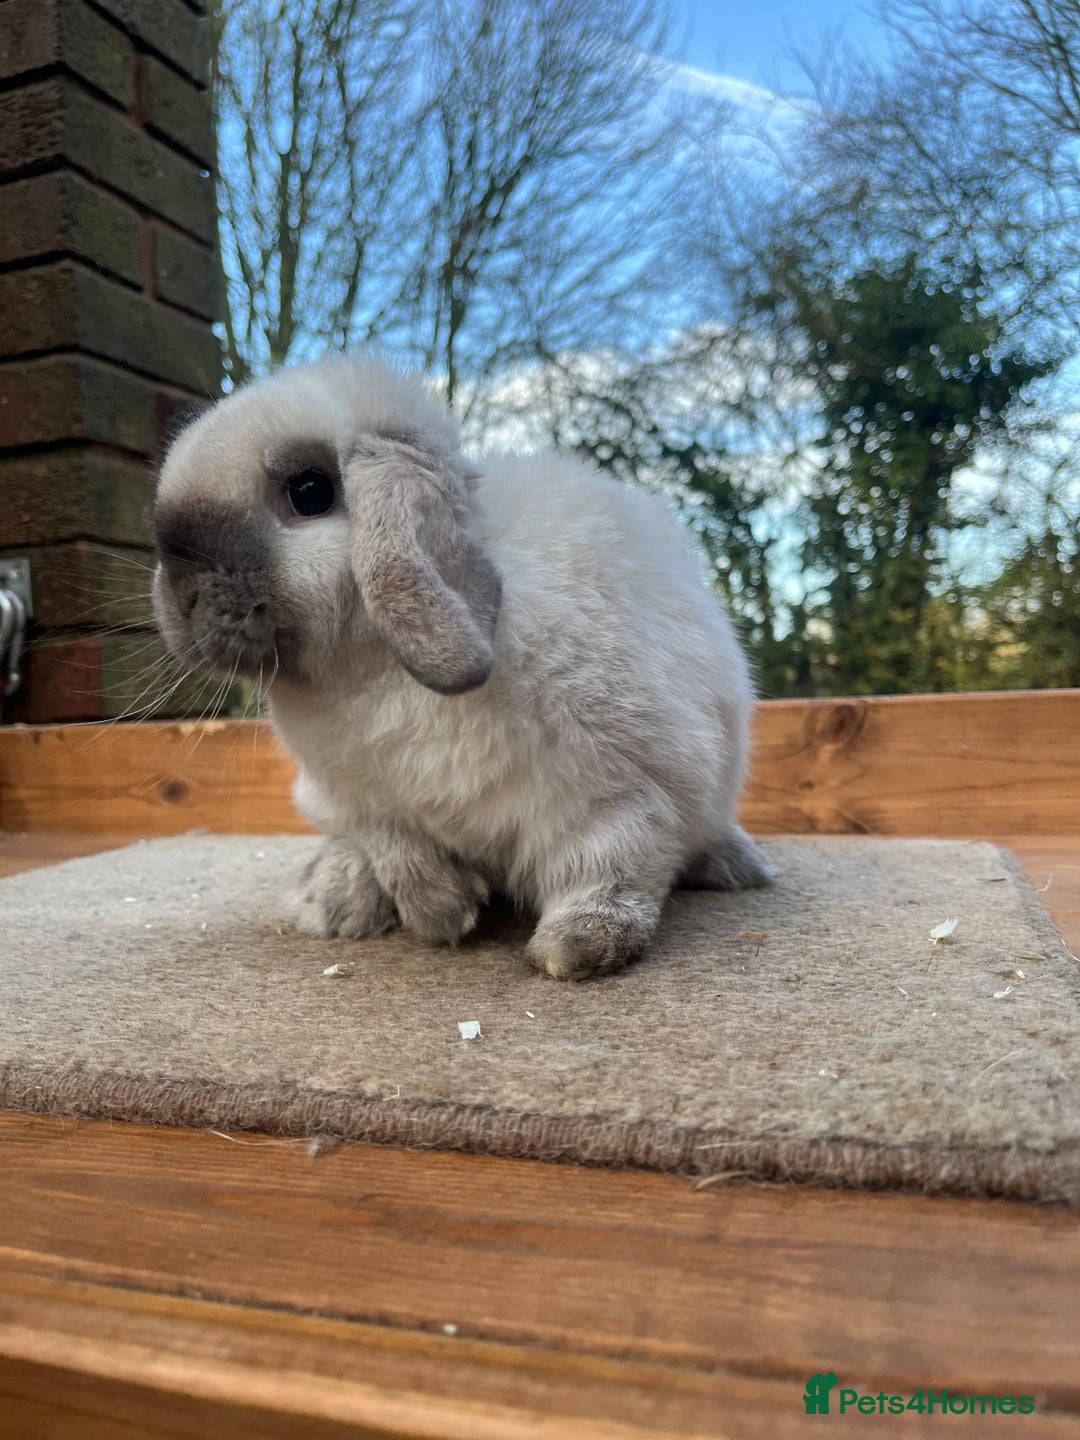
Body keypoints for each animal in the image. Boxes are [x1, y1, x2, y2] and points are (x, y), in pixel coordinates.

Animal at [152, 353, 775, 979]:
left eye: (309, 492)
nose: (181, 598)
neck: (375, 671)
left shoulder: (620, 792)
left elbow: (606, 864)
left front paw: (577, 948)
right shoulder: (362, 800)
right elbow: (395, 847)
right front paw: (442, 913)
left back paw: (738, 868)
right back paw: (333, 902)